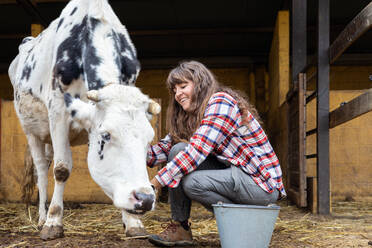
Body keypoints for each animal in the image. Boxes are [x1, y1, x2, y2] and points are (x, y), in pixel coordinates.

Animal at [6, 0, 160, 240]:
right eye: (106, 135)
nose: (145, 199)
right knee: (41, 168)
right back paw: (41, 218)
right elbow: (61, 169)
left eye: (149, 139)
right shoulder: (58, 111)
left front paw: (132, 222)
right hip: (31, 130)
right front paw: (53, 222)